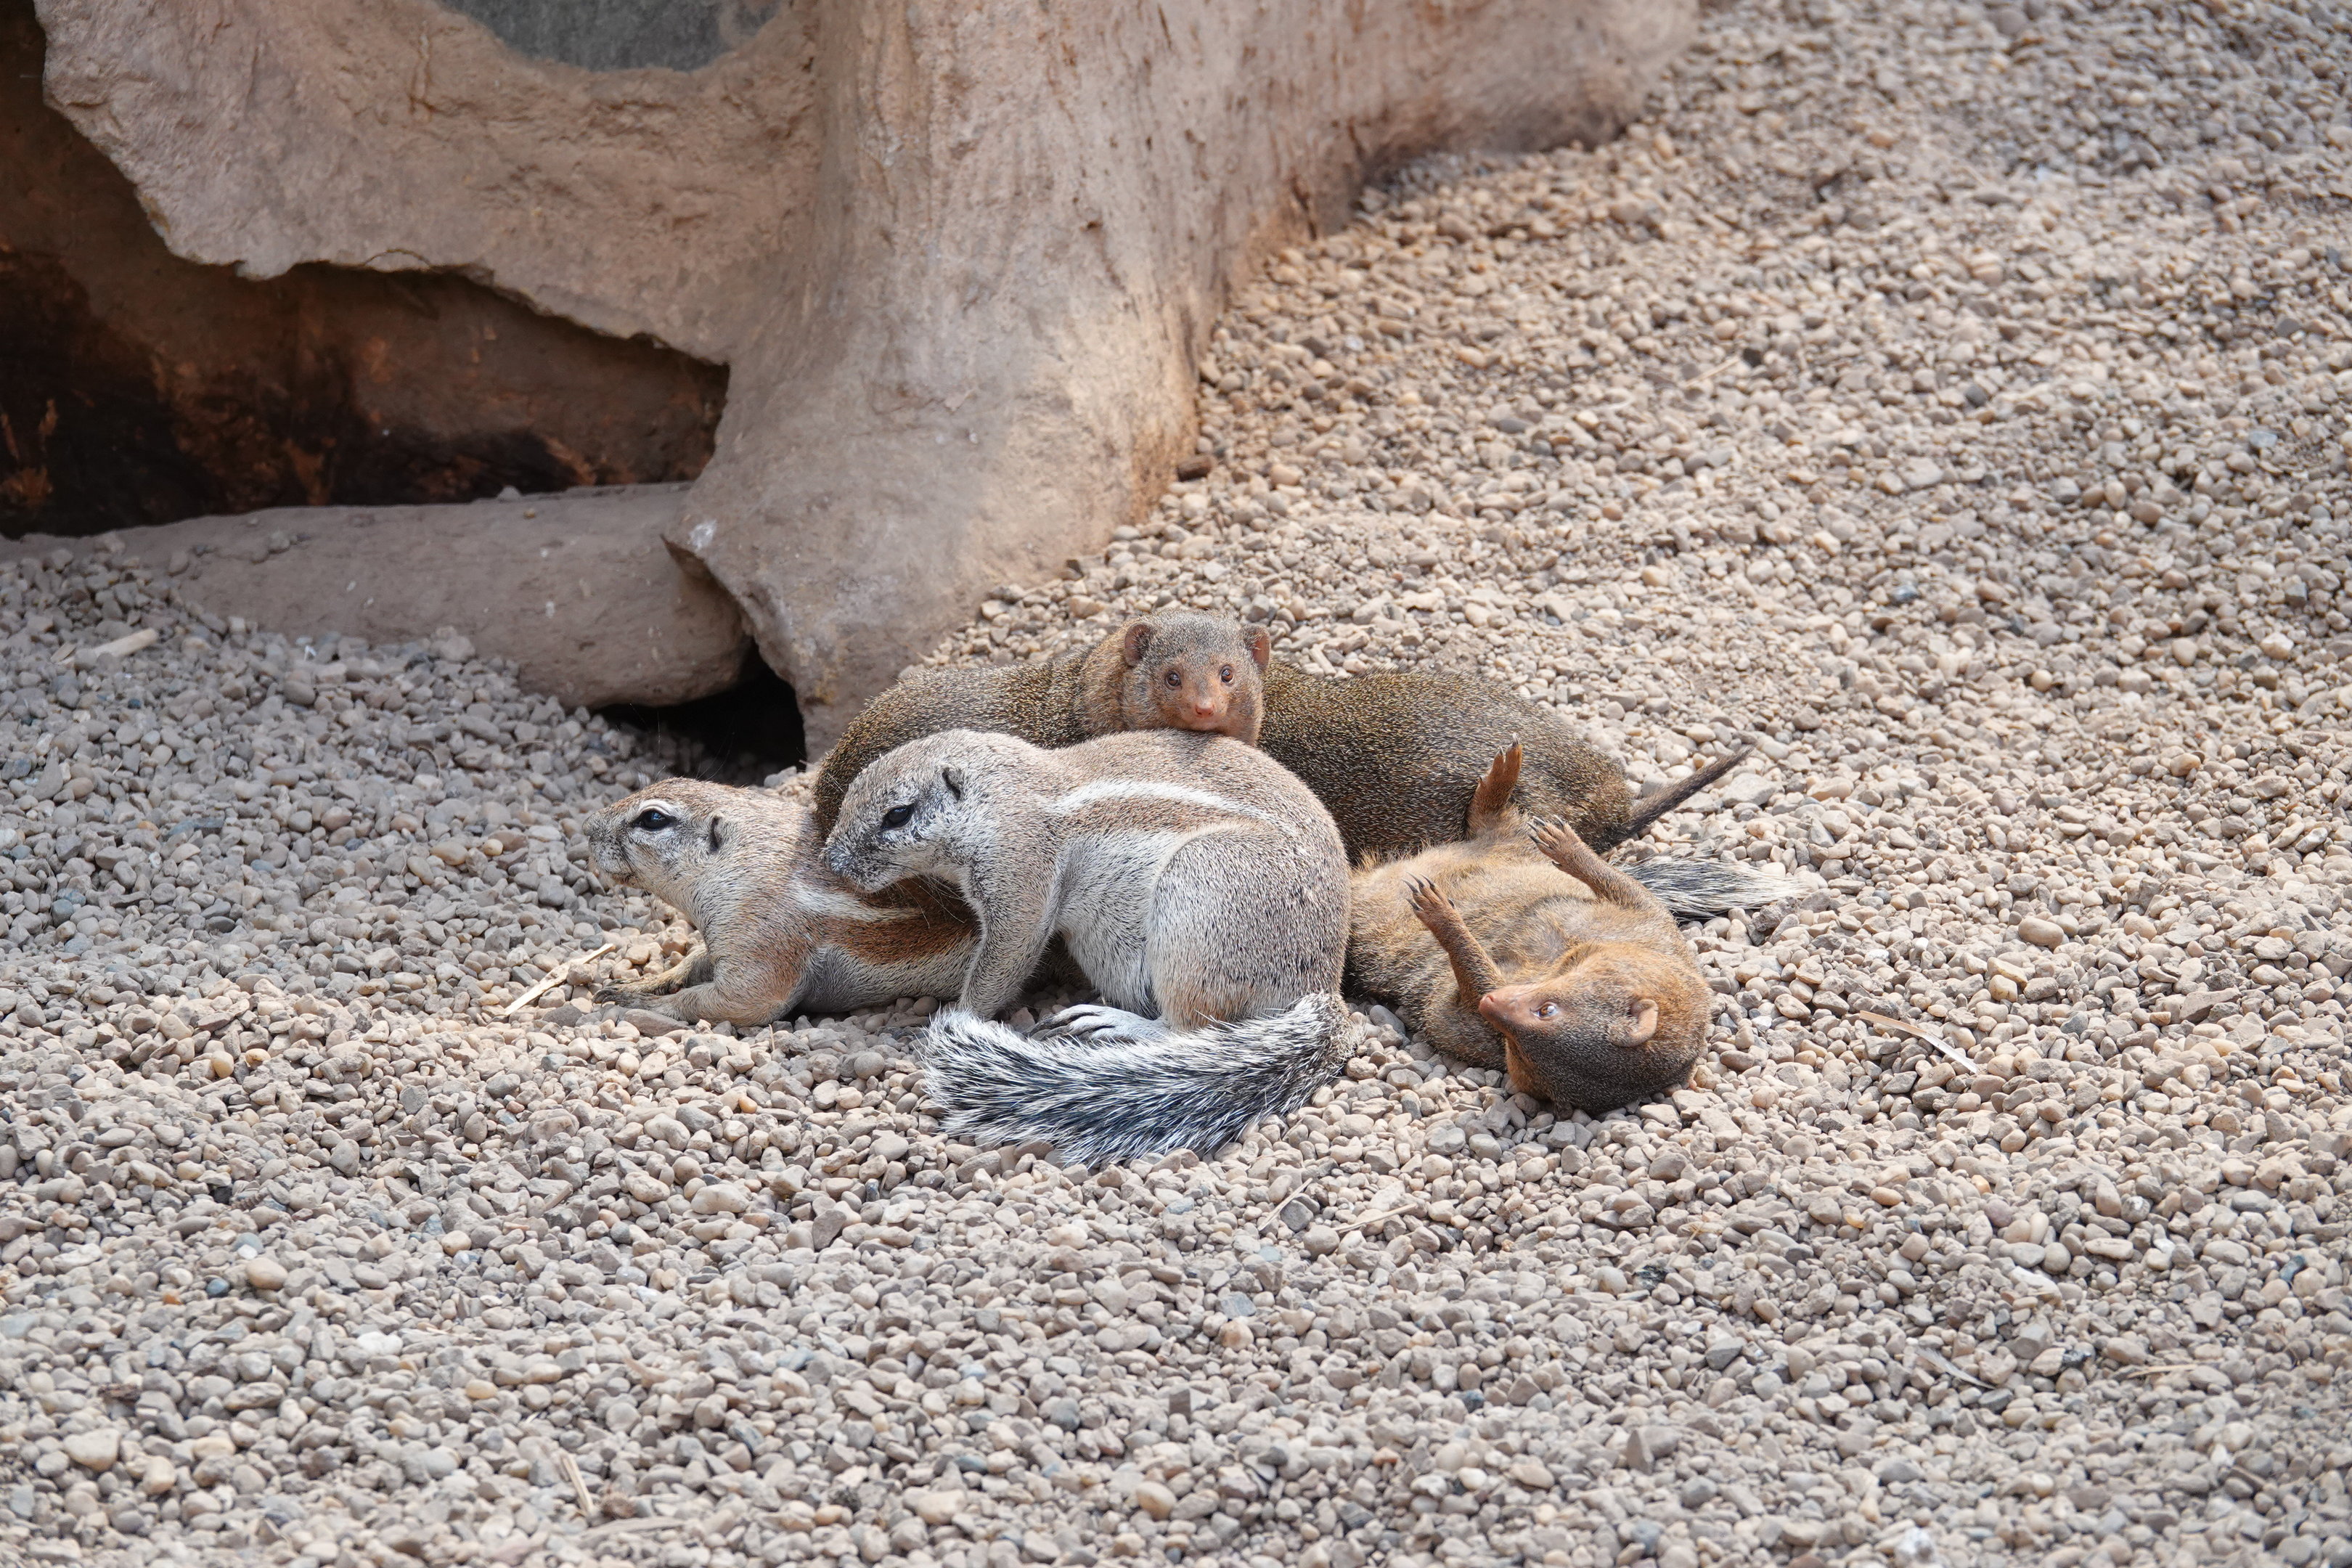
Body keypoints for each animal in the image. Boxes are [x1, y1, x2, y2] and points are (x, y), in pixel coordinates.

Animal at [583, 778, 977, 1025]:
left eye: (652, 818)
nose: (587, 826)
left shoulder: (759, 938)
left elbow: (735, 999)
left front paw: (642, 1003)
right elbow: (693, 961)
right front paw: (643, 983)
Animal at [822, 728, 1352, 1162]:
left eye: (898, 815)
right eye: (850, 794)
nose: (831, 862)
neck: (999, 793)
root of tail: (1324, 988)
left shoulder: (1020, 876)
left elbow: (1003, 962)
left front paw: (957, 1019)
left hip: (1200, 887)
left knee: (1186, 1026)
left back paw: (1114, 1022)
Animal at [1346, 743, 1792, 1113]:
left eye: (1519, 1052)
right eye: (1548, 1008)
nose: (1495, 1005)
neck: (1566, 953)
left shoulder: (1462, 1018)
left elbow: (1466, 985)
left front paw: (1442, 914)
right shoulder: (1653, 925)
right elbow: (1619, 883)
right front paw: (1568, 845)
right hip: (1508, 846)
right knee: (1496, 823)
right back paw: (1506, 774)